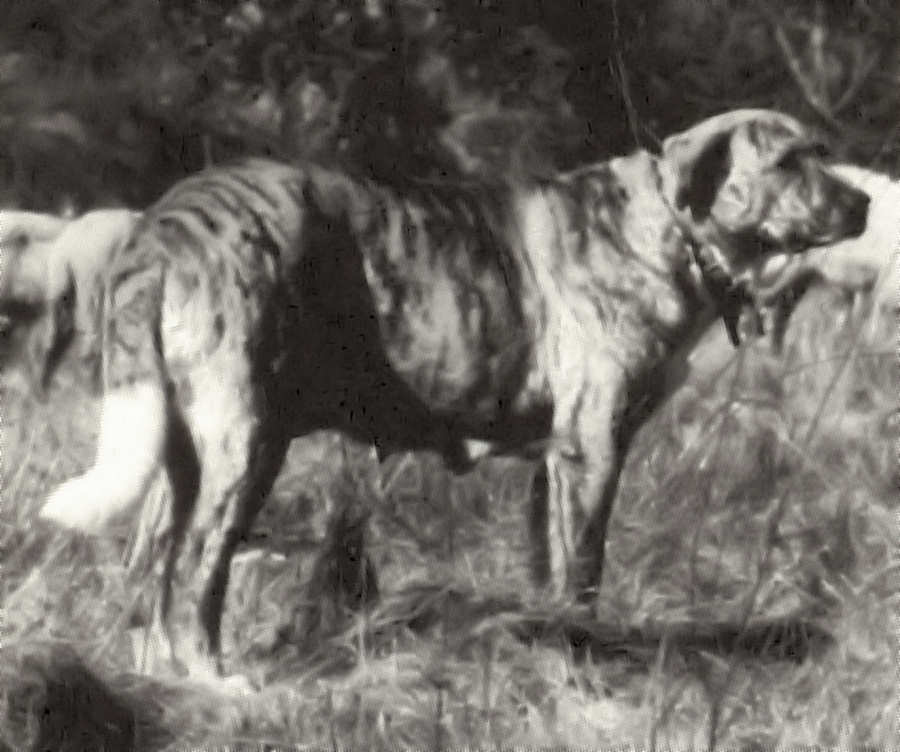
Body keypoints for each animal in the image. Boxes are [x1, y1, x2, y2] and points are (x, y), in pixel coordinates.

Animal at [20, 109, 867, 684]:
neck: (669, 226)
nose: (862, 205)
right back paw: (216, 681)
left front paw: (544, 650)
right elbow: (583, 575)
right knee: (200, 564)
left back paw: (158, 673)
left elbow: (548, 574)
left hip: (180, 450)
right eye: (789, 161)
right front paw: (584, 663)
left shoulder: (553, 464)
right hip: (245, 442)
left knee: (153, 565)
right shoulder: (593, 452)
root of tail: (171, 221)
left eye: (824, 154)